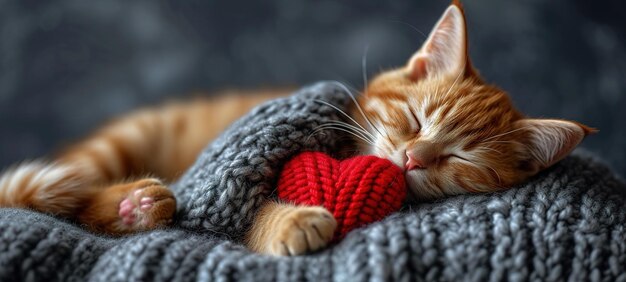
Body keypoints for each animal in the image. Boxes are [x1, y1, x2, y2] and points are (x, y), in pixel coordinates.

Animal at [0, 1, 588, 256]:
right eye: (415, 119)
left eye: (461, 158)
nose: (413, 158)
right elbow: (253, 208)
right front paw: (291, 221)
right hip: (117, 144)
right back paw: (135, 203)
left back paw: (137, 208)